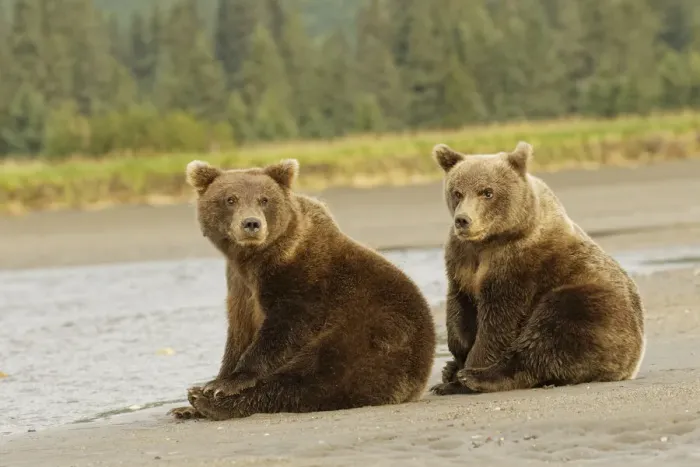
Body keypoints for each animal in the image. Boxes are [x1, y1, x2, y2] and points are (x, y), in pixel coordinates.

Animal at [168, 158, 436, 421]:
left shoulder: (305, 283)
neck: (254, 260)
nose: (251, 223)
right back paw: (188, 407)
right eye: (230, 199)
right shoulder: (239, 287)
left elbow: (284, 329)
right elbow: (238, 335)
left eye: (264, 199)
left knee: (313, 374)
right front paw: (216, 380)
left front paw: (222, 385)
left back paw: (208, 402)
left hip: (372, 334)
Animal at [428, 141, 646, 396]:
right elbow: (459, 308)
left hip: (591, 307)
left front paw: (465, 372)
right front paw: (455, 360)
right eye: (457, 192)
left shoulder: (519, 267)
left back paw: (475, 378)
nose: (463, 220)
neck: (488, 242)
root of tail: (631, 366)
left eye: (487, 192)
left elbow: (499, 322)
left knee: (547, 339)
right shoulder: (461, 261)